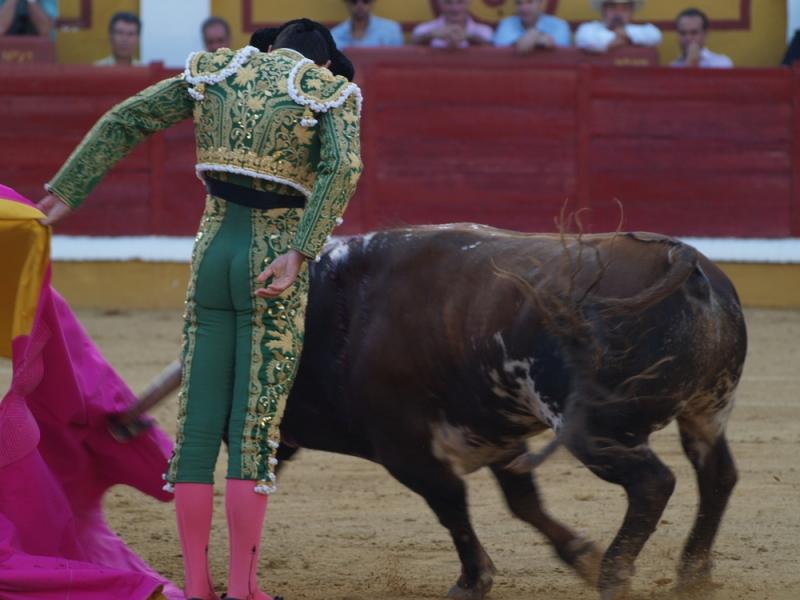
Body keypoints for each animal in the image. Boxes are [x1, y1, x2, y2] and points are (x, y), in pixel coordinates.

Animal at [125, 226, 744, 600]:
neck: (336, 316)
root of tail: (680, 257)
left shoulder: (406, 449)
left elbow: (451, 507)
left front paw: (473, 581)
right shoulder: (496, 433)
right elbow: (522, 502)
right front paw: (578, 555)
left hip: (594, 431)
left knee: (653, 482)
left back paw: (617, 575)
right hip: (707, 409)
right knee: (716, 475)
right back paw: (692, 574)